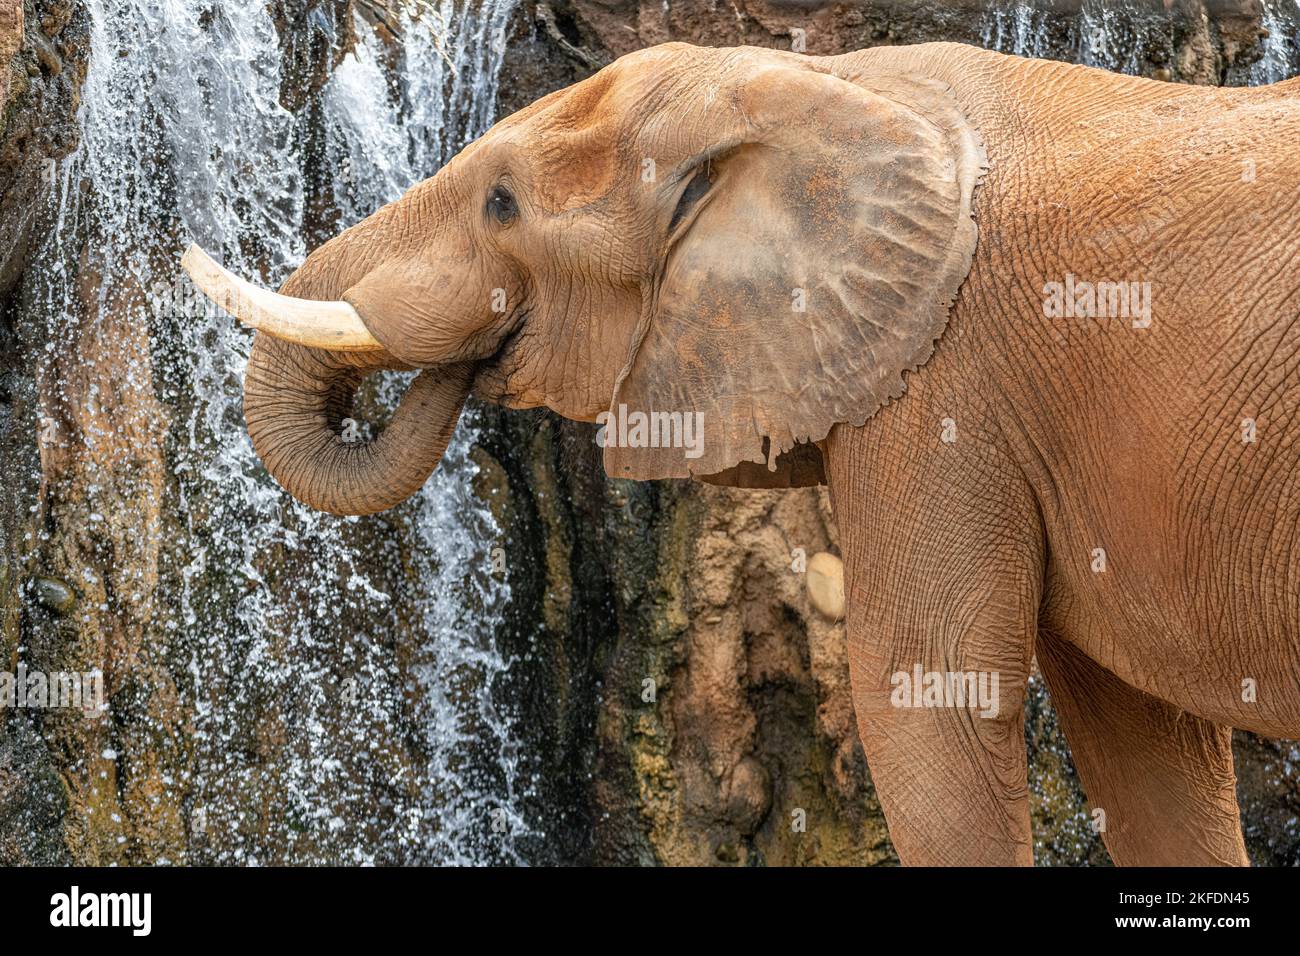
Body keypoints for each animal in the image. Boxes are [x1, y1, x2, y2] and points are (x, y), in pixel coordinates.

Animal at [185, 42, 1300, 868]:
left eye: (501, 203)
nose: (467, 364)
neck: (818, 81)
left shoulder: (944, 384)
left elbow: (926, 700)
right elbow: (1146, 748)